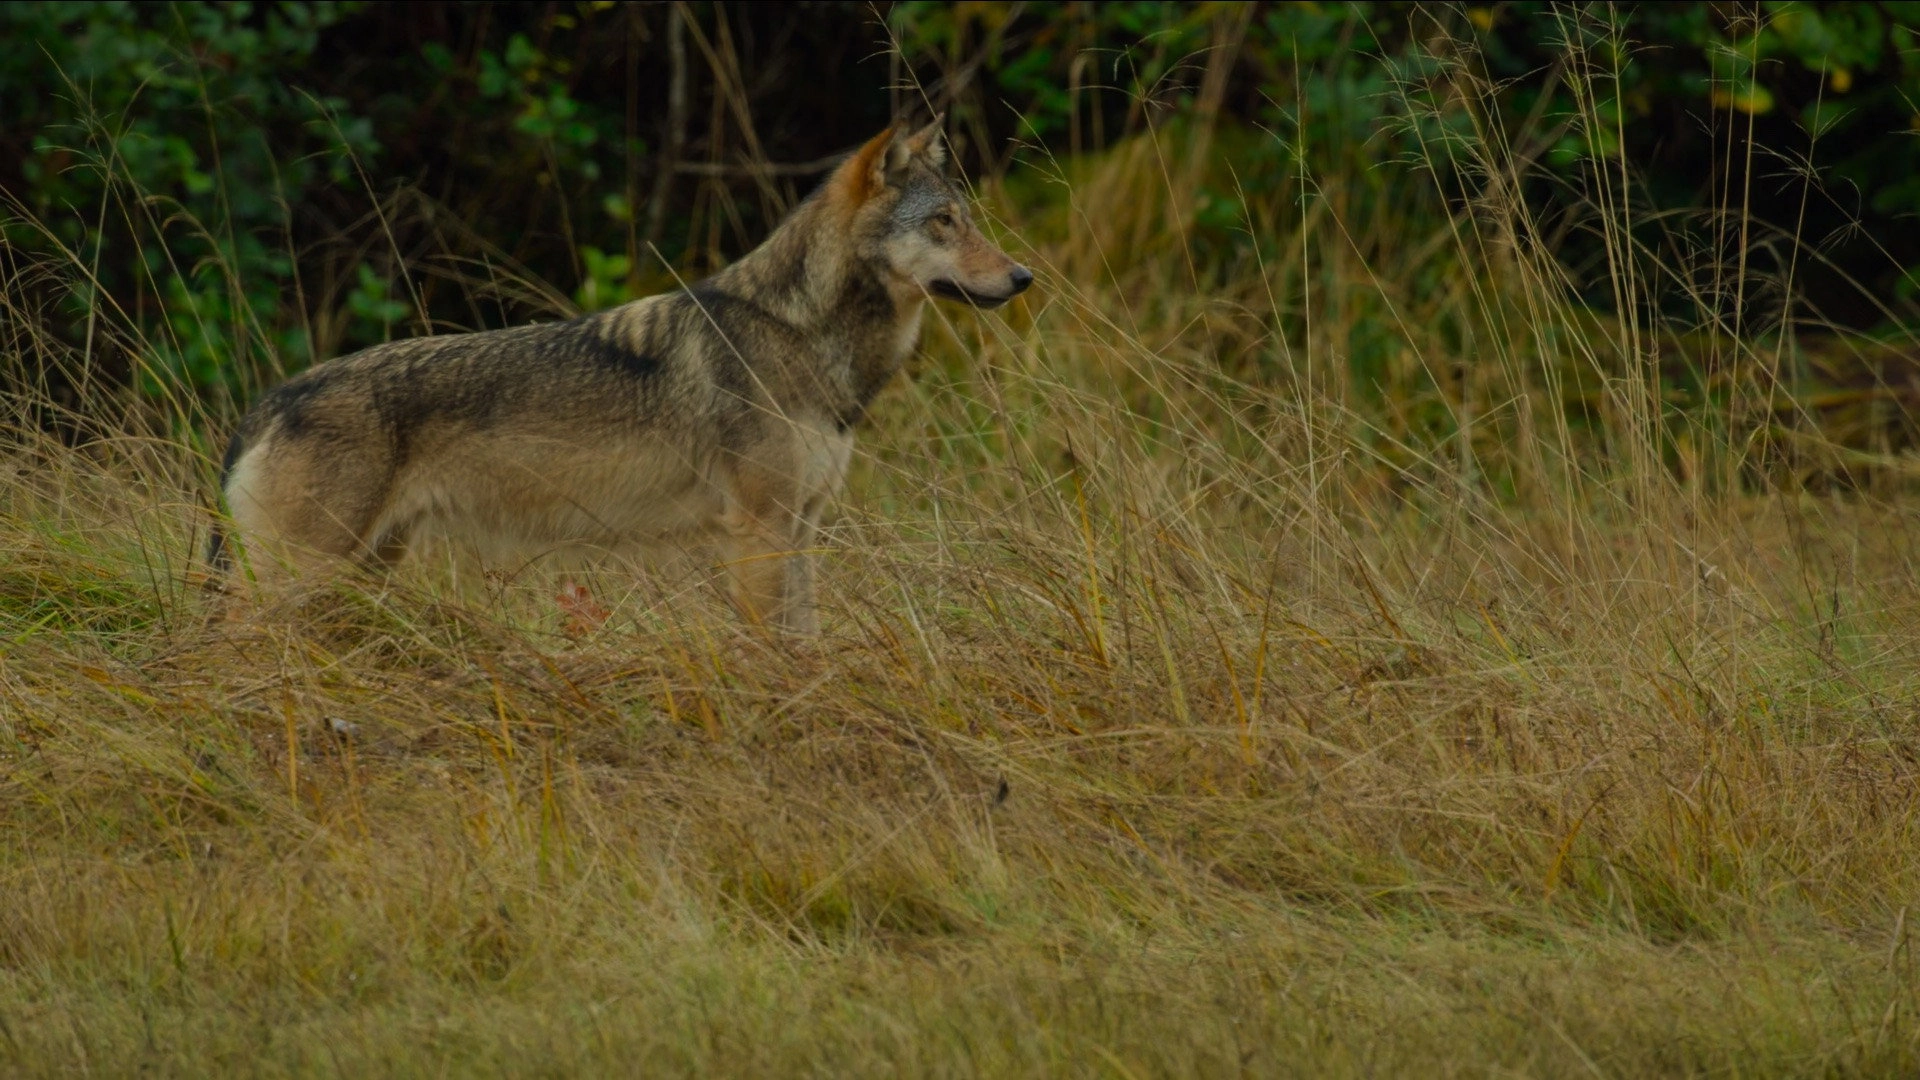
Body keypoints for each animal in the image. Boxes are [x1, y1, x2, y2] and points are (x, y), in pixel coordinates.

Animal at [210, 116, 1030, 633]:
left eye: (968, 218)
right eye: (944, 223)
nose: (1023, 277)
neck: (801, 333)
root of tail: (267, 401)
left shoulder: (800, 528)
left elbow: (807, 642)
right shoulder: (759, 530)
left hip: (365, 571)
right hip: (303, 578)